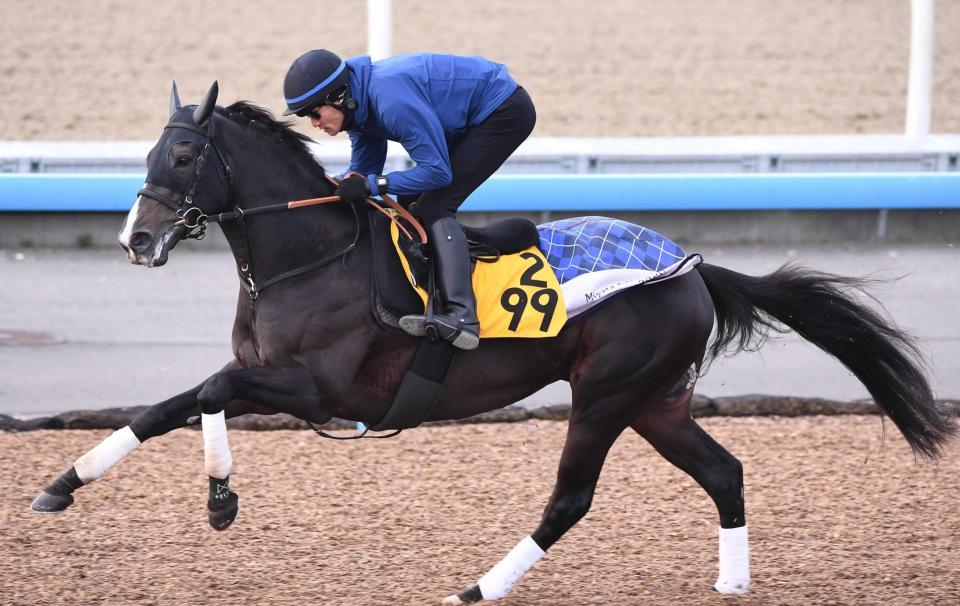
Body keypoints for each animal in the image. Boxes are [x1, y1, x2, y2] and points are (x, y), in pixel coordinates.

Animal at [30, 83, 952, 604]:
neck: (308, 254)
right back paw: (732, 581)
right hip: (658, 400)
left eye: (186, 155)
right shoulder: (266, 373)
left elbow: (211, 394)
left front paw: (220, 497)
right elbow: (171, 404)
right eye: (153, 150)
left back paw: (475, 589)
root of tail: (694, 269)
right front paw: (64, 484)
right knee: (725, 471)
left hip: (607, 395)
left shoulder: (321, 389)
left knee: (570, 500)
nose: (136, 240)